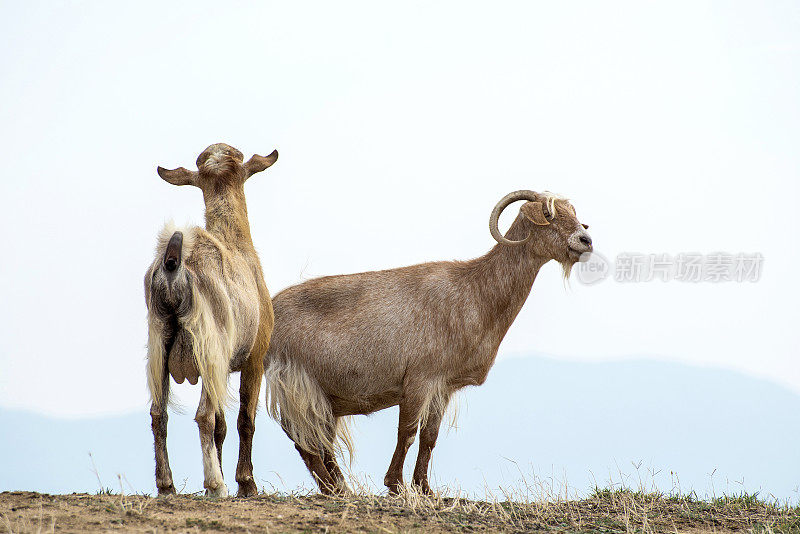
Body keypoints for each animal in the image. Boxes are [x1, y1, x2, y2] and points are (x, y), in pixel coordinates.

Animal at [144, 142, 278, 498]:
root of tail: (174, 265)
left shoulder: (220, 366)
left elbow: (222, 425)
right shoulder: (253, 357)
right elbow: (243, 419)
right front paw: (246, 484)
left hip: (160, 343)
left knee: (158, 413)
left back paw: (166, 485)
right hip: (207, 341)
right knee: (203, 415)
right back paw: (216, 484)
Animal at [266, 191, 592, 496]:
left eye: (573, 212)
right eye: (548, 214)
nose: (585, 240)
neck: (474, 292)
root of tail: (269, 313)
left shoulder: (443, 387)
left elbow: (429, 437)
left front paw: (424, 488)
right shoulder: (419, 379)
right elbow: (407, 432)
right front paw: (395, 485)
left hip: (322, 397)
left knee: (317, 442)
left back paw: (340, 488)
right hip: (298, 384)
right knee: (305, 442)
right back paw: (334, 489)